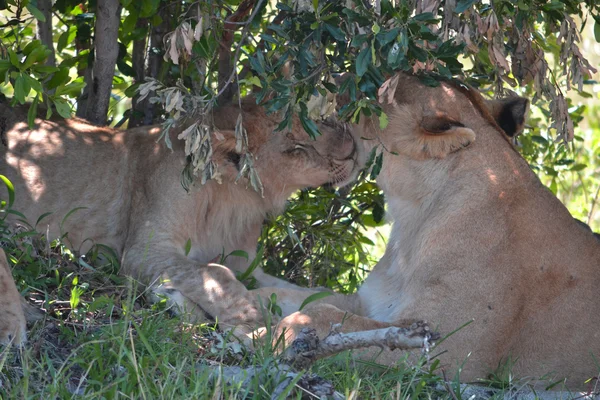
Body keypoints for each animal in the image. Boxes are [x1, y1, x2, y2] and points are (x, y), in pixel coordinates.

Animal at [0, 98, 364, 336]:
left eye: (323, 120)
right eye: (296, 149)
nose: (353, 151)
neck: (234, 195)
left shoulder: (248, 264)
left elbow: (297, 289)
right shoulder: (145, 249)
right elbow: (213, 273)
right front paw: (252, 319)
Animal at [256, 73, 600, 390]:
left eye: (375, 92)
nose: (334, 81)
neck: (413, 218)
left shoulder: (445, 348)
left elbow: (317, 313)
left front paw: (264, 336)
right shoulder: (372, 303)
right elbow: (298, 296)